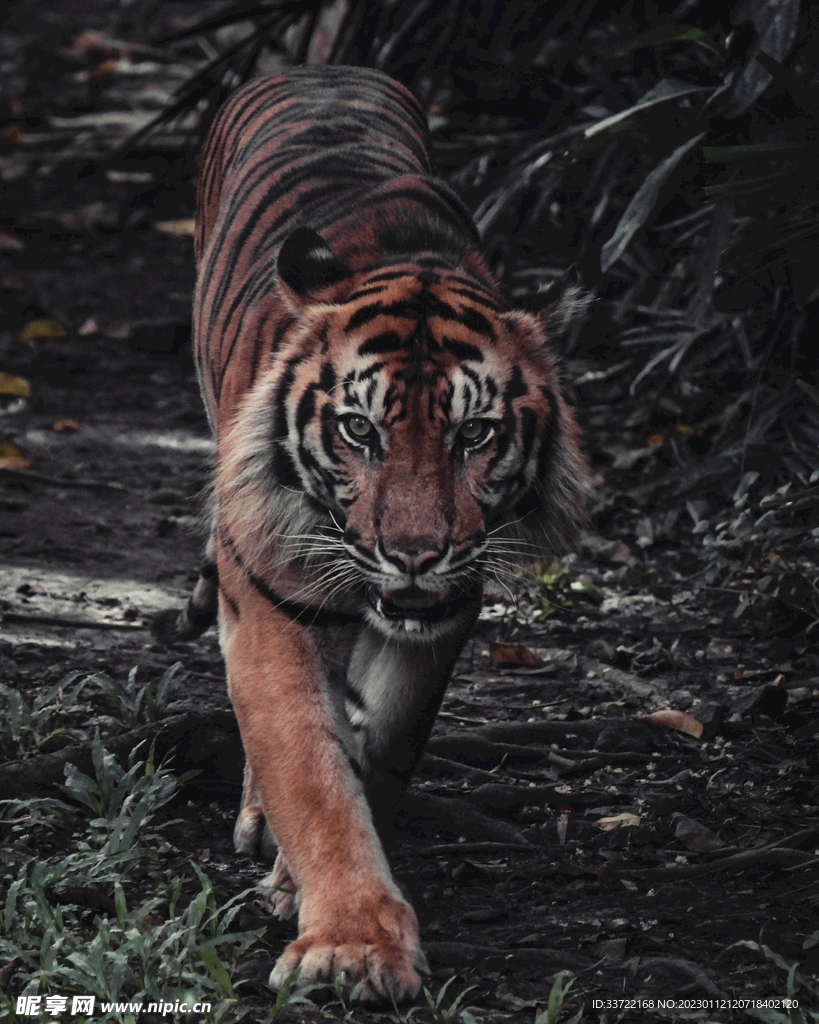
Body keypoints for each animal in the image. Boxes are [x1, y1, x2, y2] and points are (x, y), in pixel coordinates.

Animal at [157, 65, 587, 1002]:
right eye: (360, 431)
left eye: (474, 434)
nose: (413, 555)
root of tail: (318, 68)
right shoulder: (269, 601)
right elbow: (308, 768)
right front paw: (350, 944)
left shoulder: (447, 608)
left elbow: (381, 741)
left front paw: (317, 890)